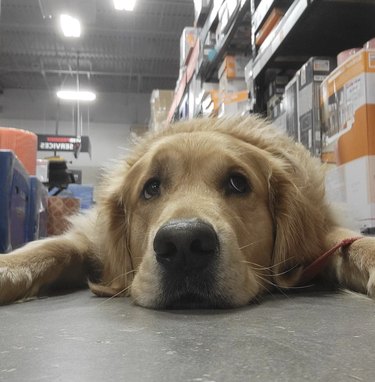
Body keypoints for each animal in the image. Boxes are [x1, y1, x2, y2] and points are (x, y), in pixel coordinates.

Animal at [0, 116, 375, 308]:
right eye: (151, 187)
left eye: (238, 183)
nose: (183, 245)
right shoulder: (92, 240)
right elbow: (53, 247)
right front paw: (9, 267)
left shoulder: (321, 235)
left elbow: (352, 241)